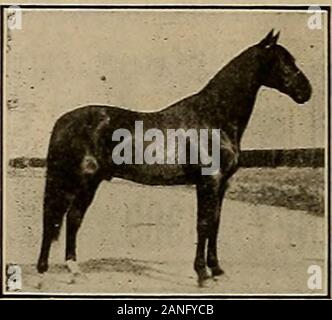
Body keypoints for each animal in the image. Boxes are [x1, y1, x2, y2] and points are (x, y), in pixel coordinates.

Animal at [37, 31, 312, 288]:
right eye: (283, 61)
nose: (306, 91)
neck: (213, 117)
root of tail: (63, 120)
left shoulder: (222, 184)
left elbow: (215, 224)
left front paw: (217, 270)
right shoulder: (208, 182)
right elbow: (203, 224)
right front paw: (202, 274)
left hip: (86, 182)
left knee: (70, 219)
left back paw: (72, 271)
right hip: (78, 180)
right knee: (59, 219)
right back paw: (46, 274)